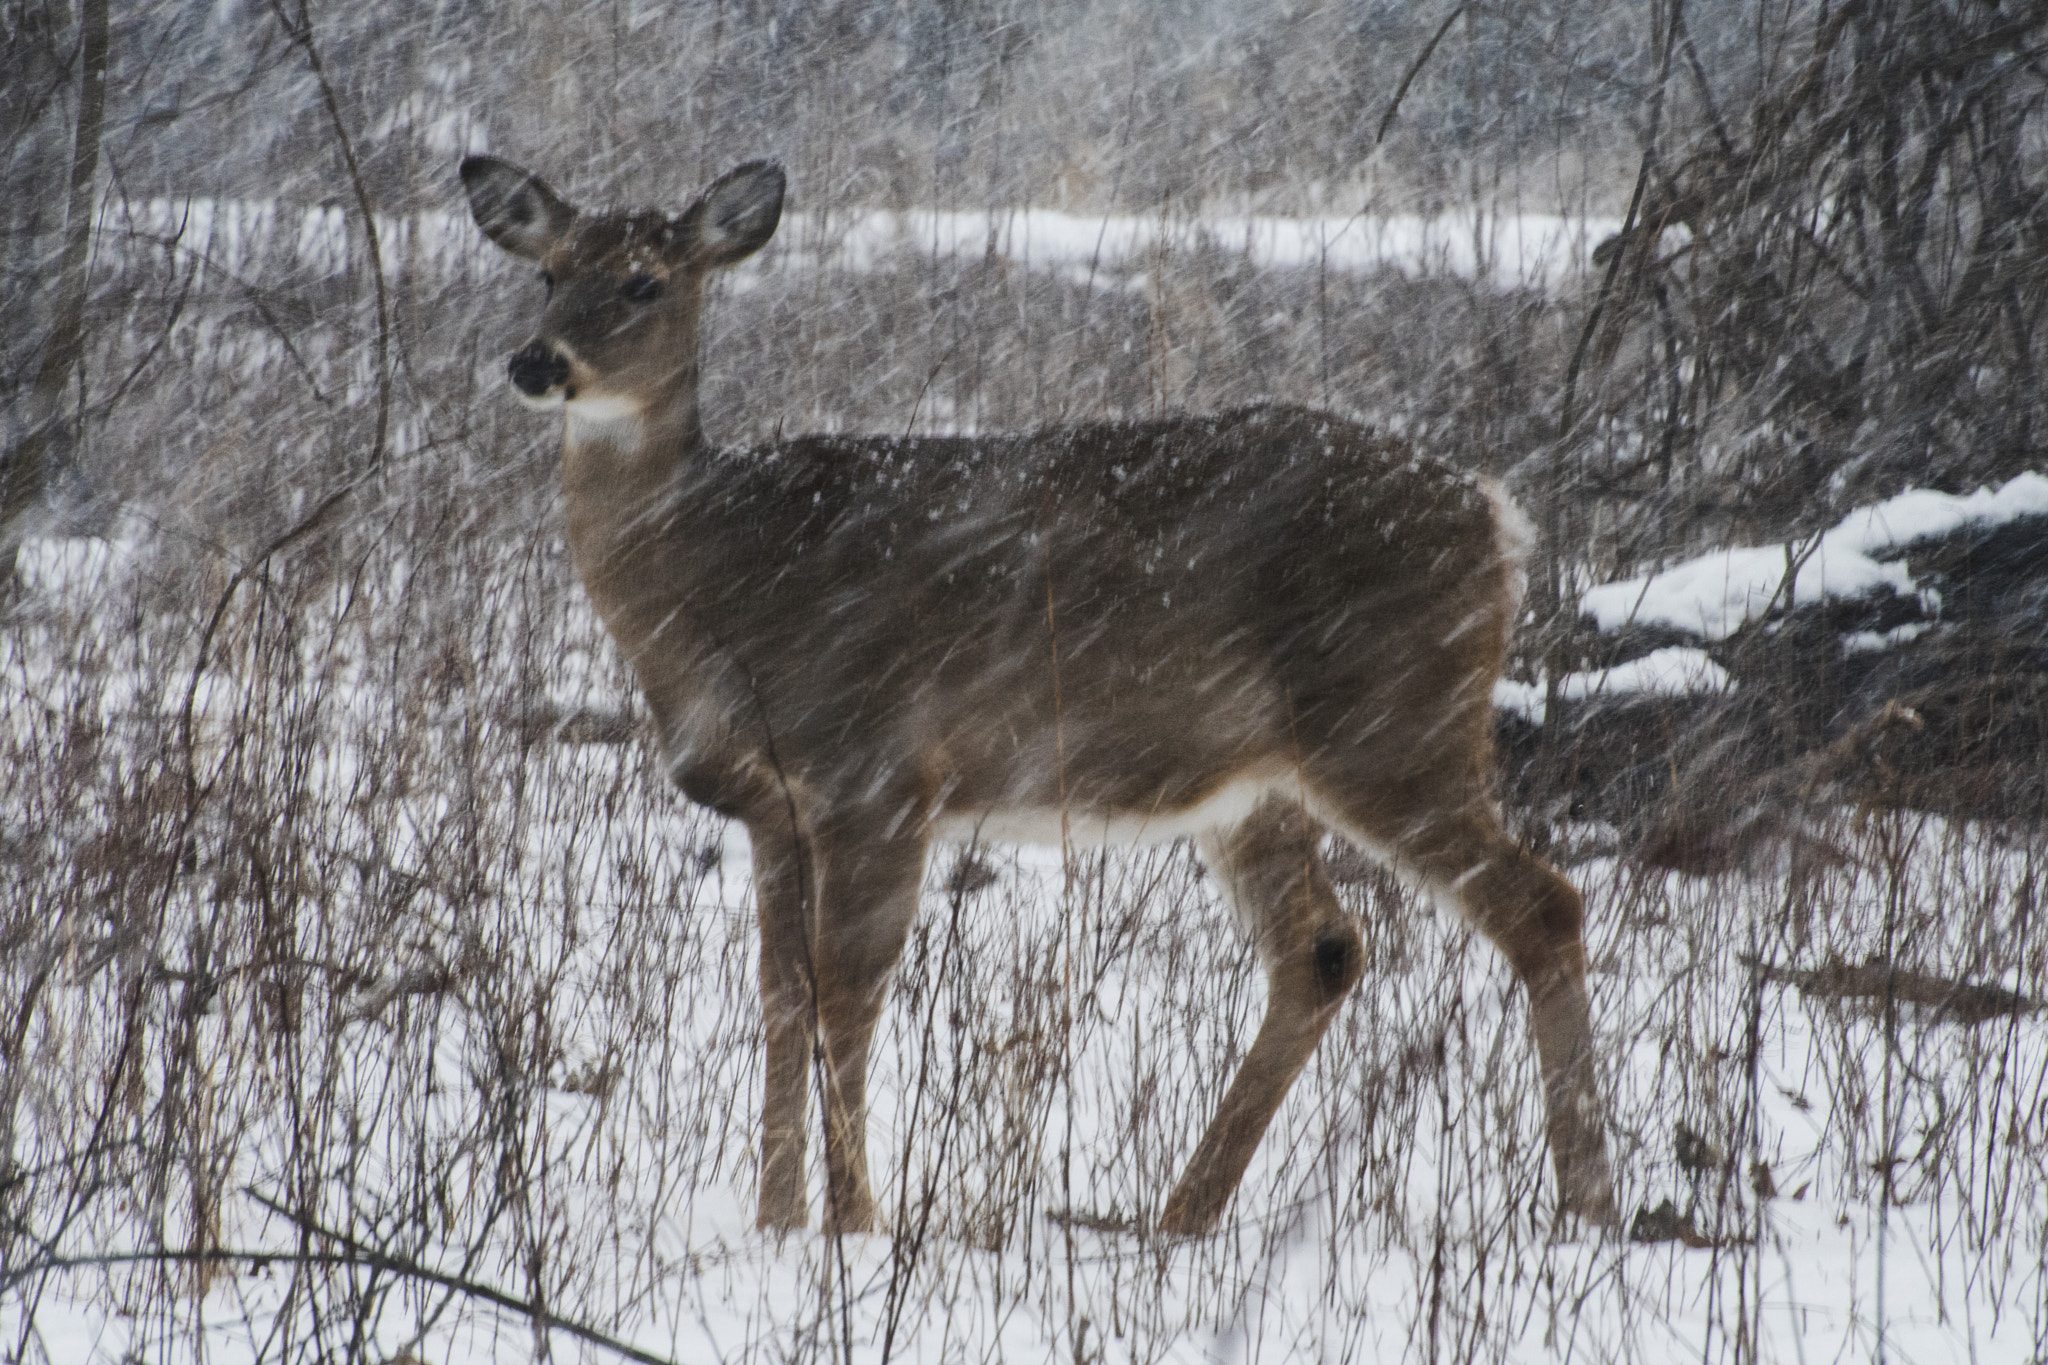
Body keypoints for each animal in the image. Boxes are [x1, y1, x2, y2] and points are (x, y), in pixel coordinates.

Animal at [460, 157, 1613, 1236]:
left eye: (644, 280)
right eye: (547, 271)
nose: (536, 362)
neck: (720, 582)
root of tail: (1499, 520)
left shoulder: (876, 772)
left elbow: (847, 996)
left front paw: (855, 1223)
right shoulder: (773, 806)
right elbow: (782, 997)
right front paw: (777, 1221)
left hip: (1390, 726)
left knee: (1541, 905)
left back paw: (1588, 1201)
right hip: (1257, 783)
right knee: (1324, 949)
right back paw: (1179, 1215)